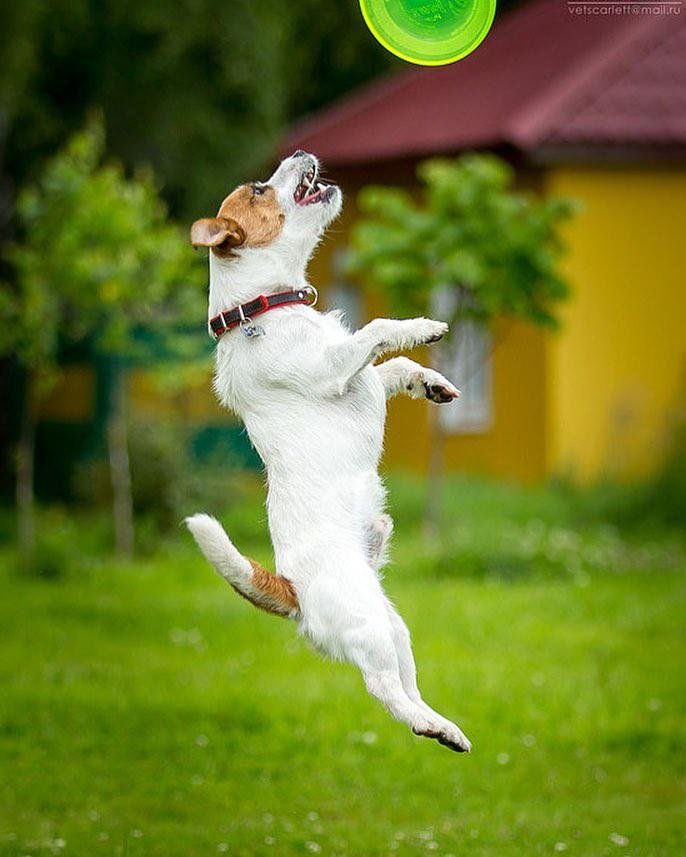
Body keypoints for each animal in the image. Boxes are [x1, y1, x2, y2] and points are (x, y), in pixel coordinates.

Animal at [184, 150, 472, 752]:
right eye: (258, 188)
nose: (300, 154)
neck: (261, 311)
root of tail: (292, 590)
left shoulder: (361, 377)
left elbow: (393, 367)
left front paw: (432, 382)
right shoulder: (334, 370)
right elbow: (380, 330)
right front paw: (424, 325)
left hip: (393, 628)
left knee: (405, 688)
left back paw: (444, 728)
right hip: (368, 624)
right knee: (384, 690)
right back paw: (429, 725)